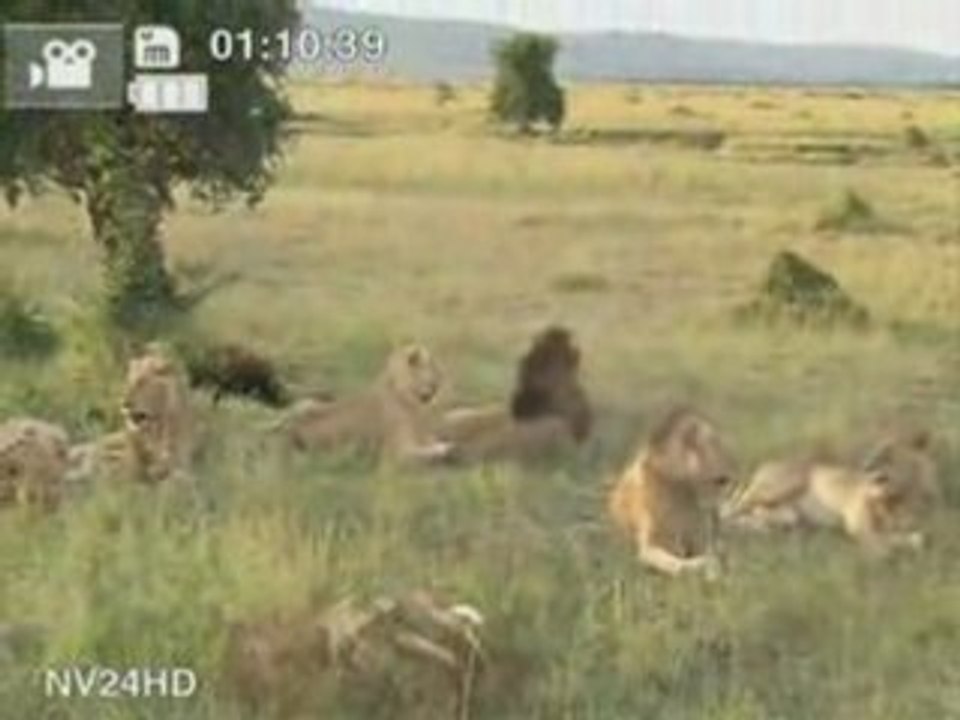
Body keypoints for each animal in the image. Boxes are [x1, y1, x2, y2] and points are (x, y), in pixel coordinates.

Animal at [274, 344, 454, 465]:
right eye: (435, 368)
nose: (443, 378)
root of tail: (291, 431)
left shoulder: (421, 437)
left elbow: (432, 440)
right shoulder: (397, 452)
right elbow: (430, 451)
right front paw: (444, 449)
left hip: (308, 403)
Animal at [608, 407, 735, 579]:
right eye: (721, 480)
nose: (732, 490)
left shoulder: (700, 537)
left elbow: (710, 552)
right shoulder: (650, 542)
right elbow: (664, 559)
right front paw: (697, 566)